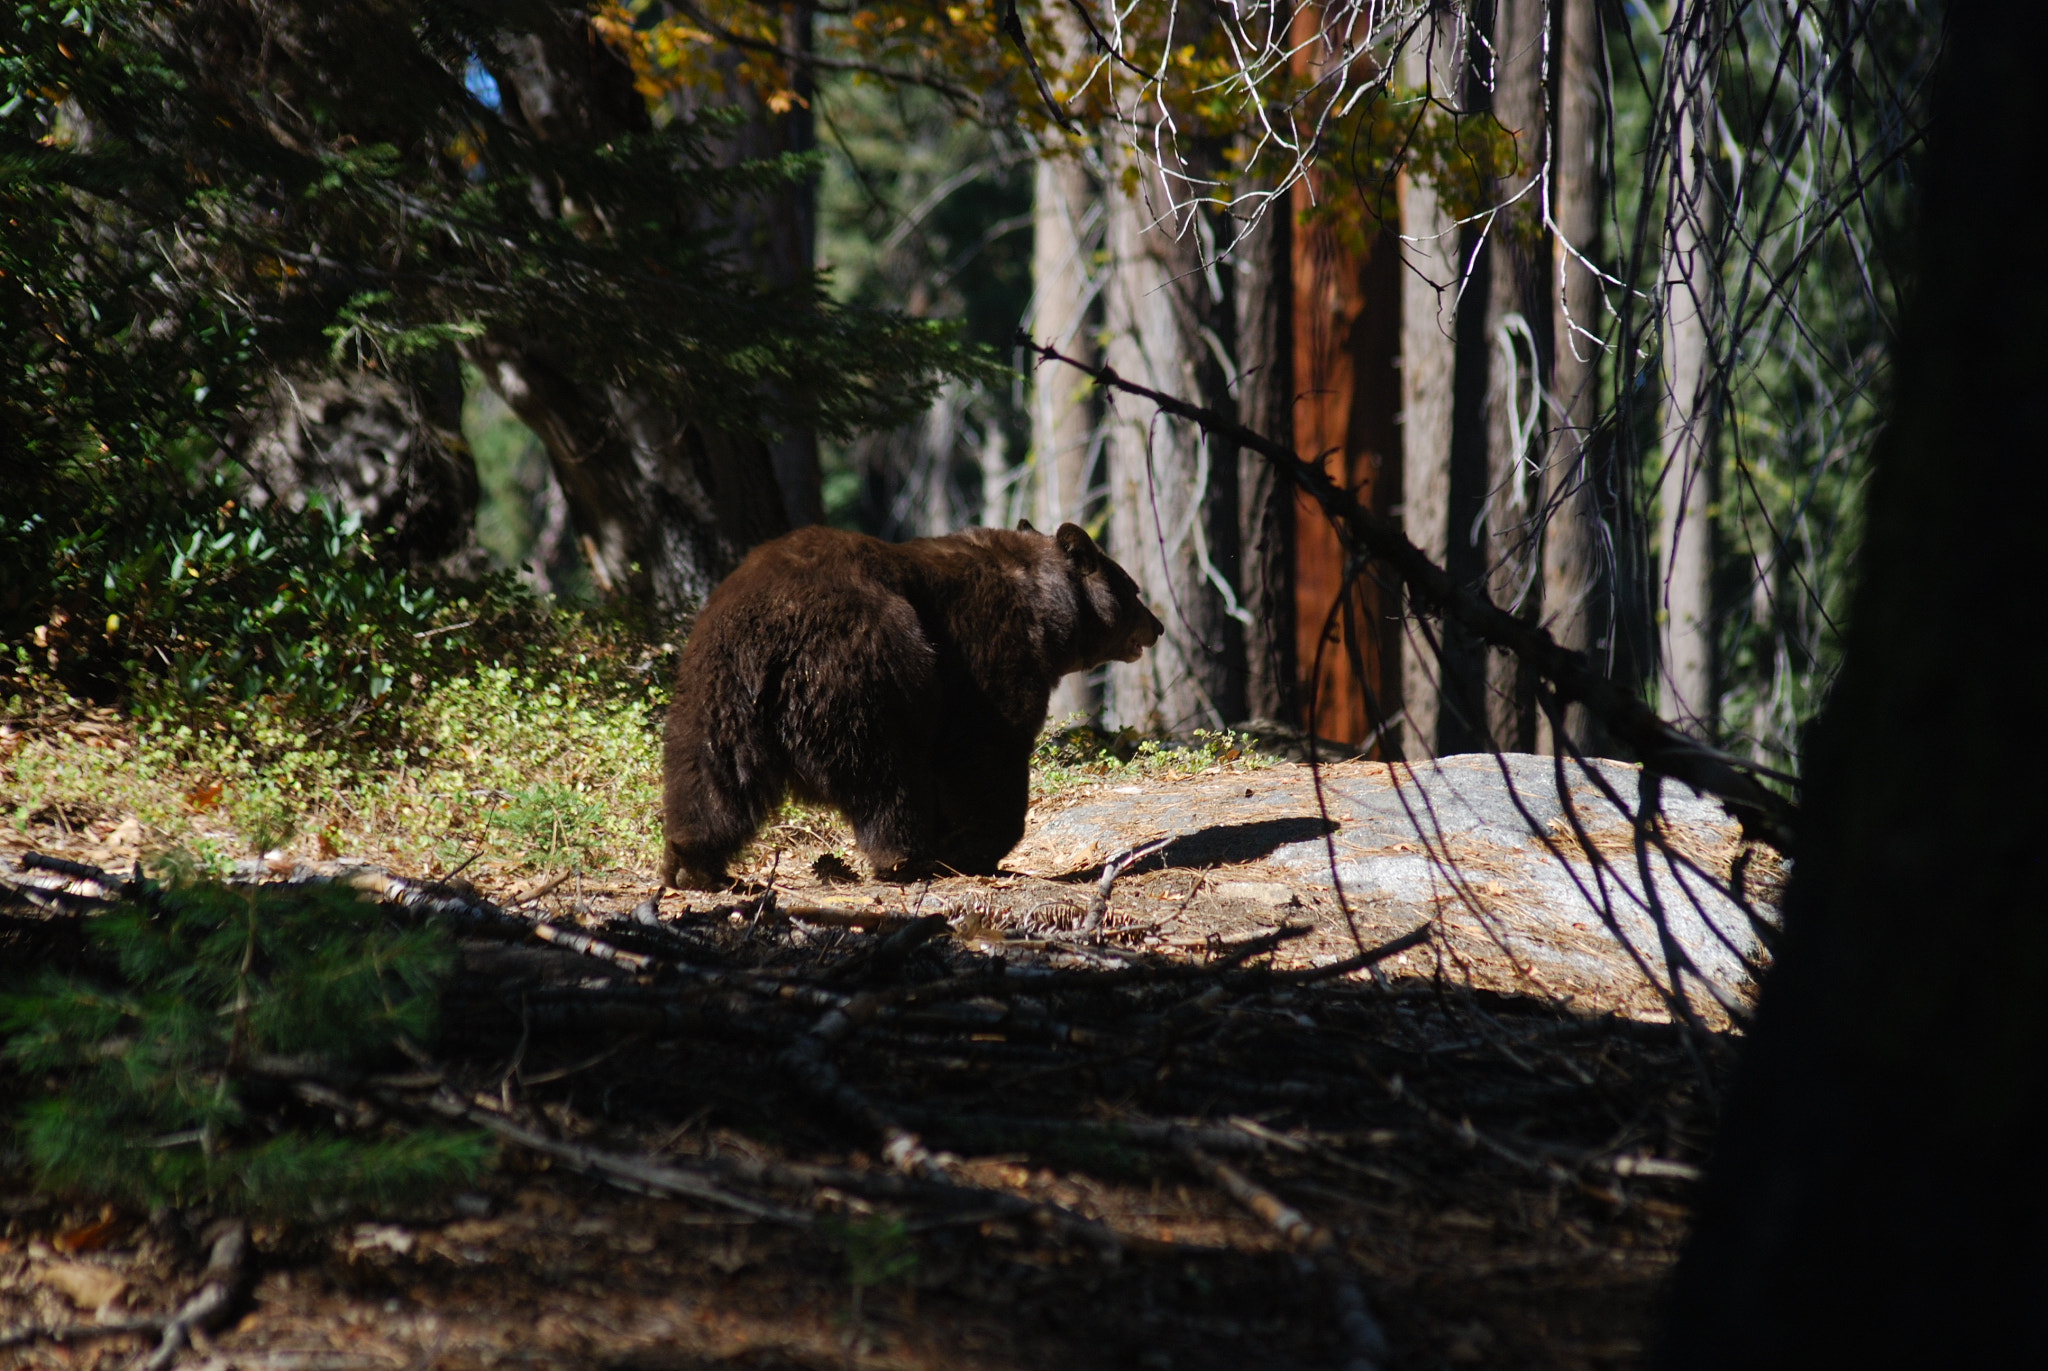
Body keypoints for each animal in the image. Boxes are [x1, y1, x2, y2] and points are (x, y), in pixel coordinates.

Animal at [659, 518, 1163, 881]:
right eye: (1135, 588)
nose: (1157, 626)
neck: (1048, 611)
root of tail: (772, 628)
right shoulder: (986, 657)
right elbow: (984, 751)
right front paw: (973, 848)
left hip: (715, 687)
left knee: (707, 776)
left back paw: (692, 865)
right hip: (867, 668)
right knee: (886, 772)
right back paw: (905, 858)